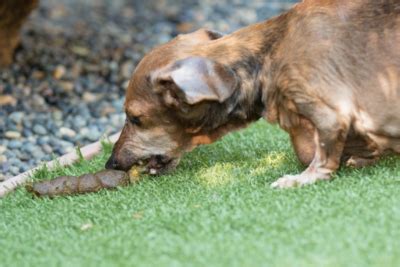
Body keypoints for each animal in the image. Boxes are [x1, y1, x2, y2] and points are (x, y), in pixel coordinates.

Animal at [105, 0, 400, 188]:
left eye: (135, 118)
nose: (110, 163)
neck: (271, 52)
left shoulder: (329, 112)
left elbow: (320, 158)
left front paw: (299, 179)